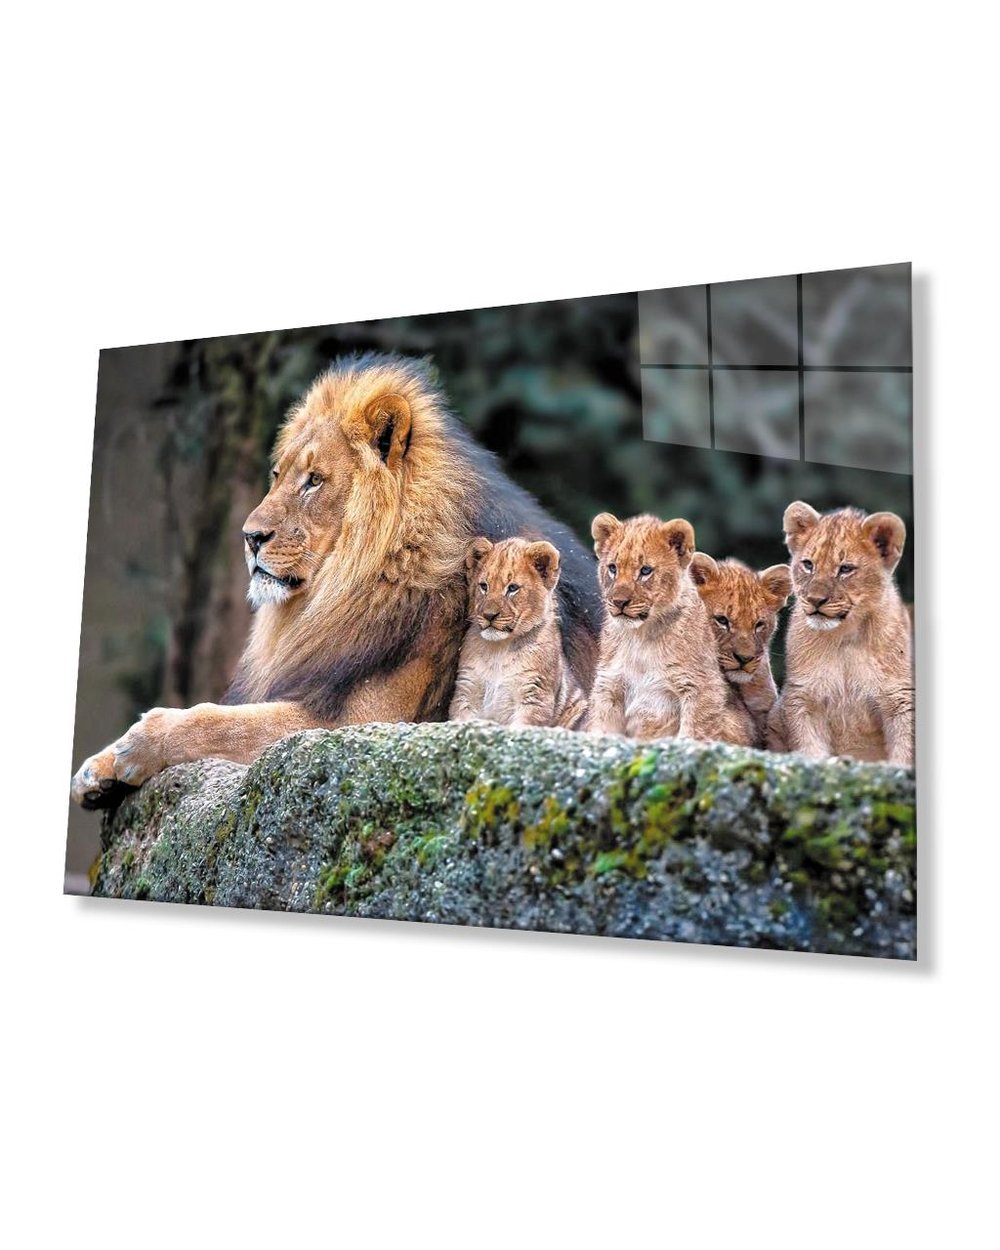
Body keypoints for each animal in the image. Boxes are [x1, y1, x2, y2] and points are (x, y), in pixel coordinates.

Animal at [449, 536, 587, 729]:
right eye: (484, 586)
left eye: (512, 588)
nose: (489, 615)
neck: (499, 649)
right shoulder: (467, 690)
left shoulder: (534, 696)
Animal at [585, 513, 754, 746]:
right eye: (613, 568)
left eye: (645, 571)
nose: (619, 602)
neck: (640, 636)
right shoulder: (609, 685)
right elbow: (601, 728)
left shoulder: (702, 687)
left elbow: (694, 732)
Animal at [767, 501, 914, 765]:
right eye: (808, 564)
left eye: (845, 569)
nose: (815, 600)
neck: (844, 637)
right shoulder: (803, 697)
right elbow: (810, 749)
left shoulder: (900, 699)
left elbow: (904, 752)